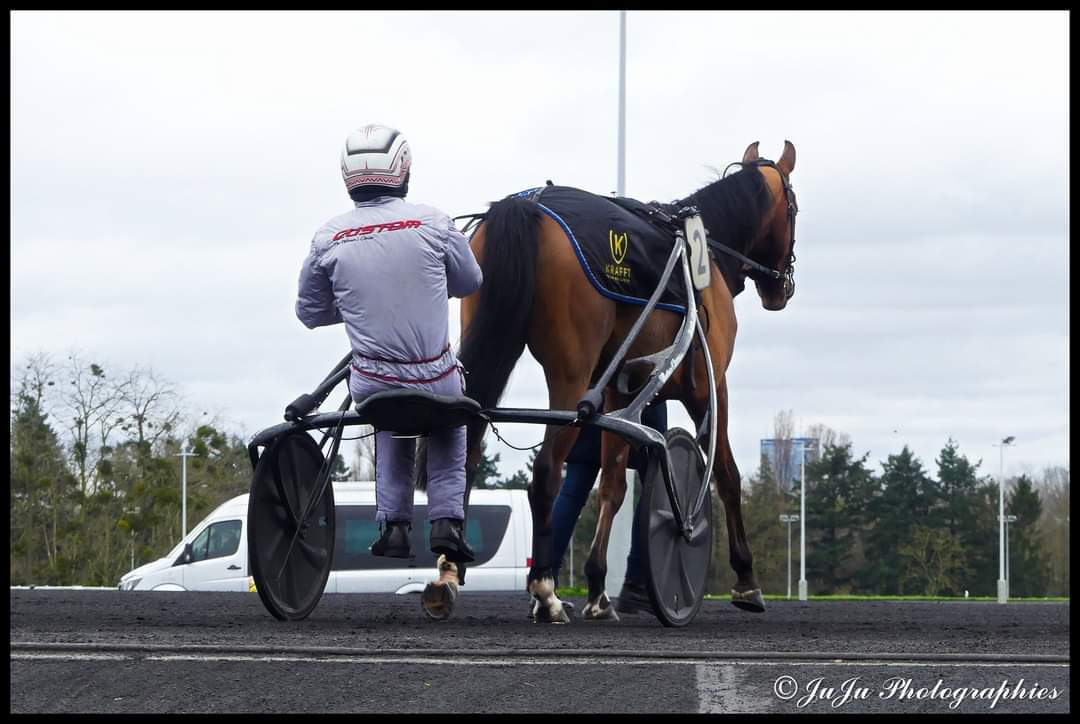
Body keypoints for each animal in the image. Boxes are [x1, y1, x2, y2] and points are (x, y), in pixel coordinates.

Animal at [425, 141, 799, 622]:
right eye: (793, 207)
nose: (781, 289)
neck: (702, 258)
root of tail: (529, 205)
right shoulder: (709, 386)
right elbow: (726, 475)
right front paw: (746, 579)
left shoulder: (617, 392)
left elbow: (613, 486)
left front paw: (599, 588)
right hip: (572, 372)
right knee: (546, 472)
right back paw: (544, 589)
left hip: (491, 341)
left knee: (468, 449)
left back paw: (450, 570)